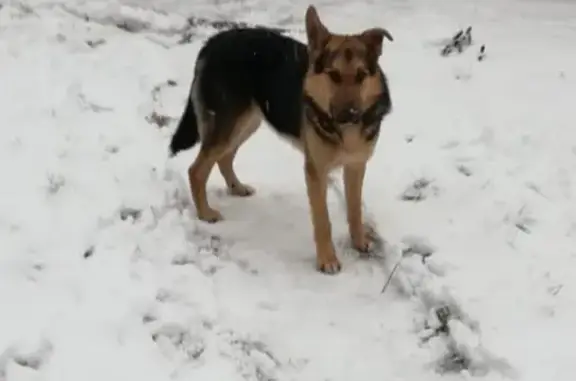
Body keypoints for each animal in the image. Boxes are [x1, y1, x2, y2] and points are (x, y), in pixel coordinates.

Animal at [166, 5, 392, 274]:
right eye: (334, 75)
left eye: (361, 76)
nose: (349, 114)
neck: (344, 131)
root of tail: (212, 42)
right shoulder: (316, 172)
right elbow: (323, 221)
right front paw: (327, 260)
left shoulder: (356, 166)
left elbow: (355, 210)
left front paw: (359, 242)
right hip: (229, 125)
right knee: (197, 170)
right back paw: (205, 213)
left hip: (248, 122)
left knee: (224, 158)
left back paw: (237, 187)